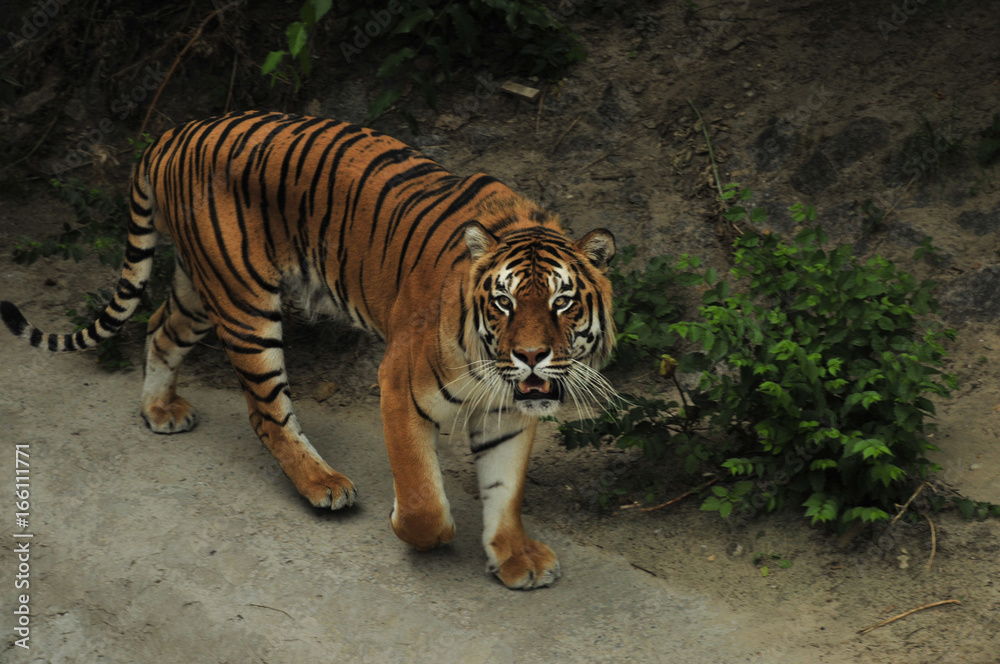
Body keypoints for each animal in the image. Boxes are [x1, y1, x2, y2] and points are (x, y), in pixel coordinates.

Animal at [0, 110, 617, 589]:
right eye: (504, 303)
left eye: (562, 302)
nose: (532, 356)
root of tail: (174, 131)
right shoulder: (399, 385)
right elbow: (423, 498)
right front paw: (423, 532)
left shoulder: (510, 412)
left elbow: (504, 490)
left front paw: (514, 557)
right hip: (245, 304)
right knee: (266, 413)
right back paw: (323, 485)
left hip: (201, 288)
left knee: (158, 328)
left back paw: (159, 410)